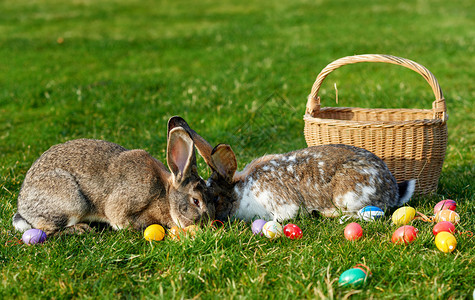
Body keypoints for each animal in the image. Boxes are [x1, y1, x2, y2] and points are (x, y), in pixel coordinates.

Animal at [12, 118, 216, 237]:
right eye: (196, 201)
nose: (209, 225)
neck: (165, 195)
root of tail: (23, 207)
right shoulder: (124, 206)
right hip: (72, 201)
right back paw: (80, 229)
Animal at [168, 117, 416, 223]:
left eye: (215, 199)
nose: (209, 219)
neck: (240, 191)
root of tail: (393, 190)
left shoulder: (281, 207)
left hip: (349, 196)